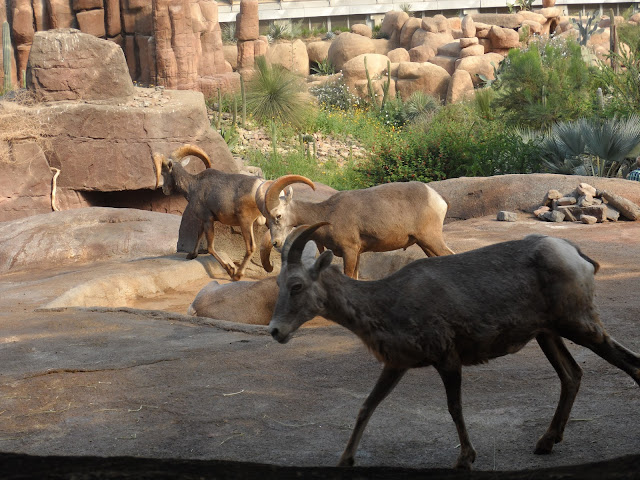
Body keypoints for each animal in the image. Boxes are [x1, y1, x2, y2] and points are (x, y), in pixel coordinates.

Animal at [154, 144, 264, 284]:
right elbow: (198, 235)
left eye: (163, 172)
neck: (193, 186)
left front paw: (230, 270)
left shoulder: (208, 220)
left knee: (250, 247)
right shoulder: (203, 221)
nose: (164, 190)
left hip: (245, 223)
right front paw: (192, 255)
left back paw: (237, 275)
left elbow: (210, 248)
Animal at [255, 175, 456, 278]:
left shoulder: (350, 251)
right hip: (425, 243)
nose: (276, 243)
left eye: (278, 216)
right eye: (267, 221)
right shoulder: (357, 254)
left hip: (431, 239)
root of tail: (438, 199)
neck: (327, 214)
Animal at [268, 224, 640, 468]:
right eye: (279, 284)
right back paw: (545, 442)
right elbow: (366, 406)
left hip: (579, 323)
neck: (386, 304)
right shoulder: (396, 364)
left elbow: (454, 407)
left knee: (628, 362)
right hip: (548, 332)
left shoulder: (447, 358)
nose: (275, 331)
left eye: (297, 285)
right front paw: (345, 459)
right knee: (572, 375)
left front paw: (465, 458)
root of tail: (579, 257)